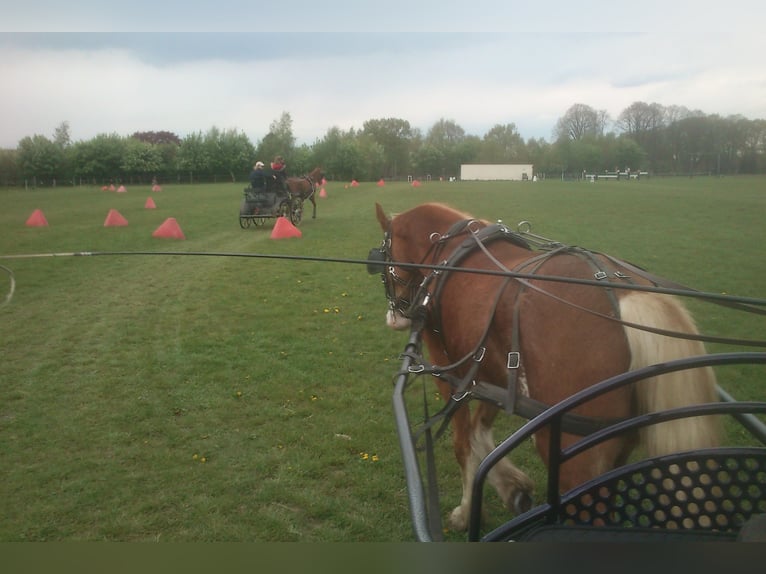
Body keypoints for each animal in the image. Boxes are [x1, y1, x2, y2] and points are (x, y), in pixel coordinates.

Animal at [376, 204, 724, 536]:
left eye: (385, 257)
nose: (394, 318)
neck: (447, 253)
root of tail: (627, 294)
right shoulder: (494, 373)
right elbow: (479, 430)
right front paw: (513, 487)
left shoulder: (451, 370)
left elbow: (463, 443)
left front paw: (466, 512)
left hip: (575, 458)